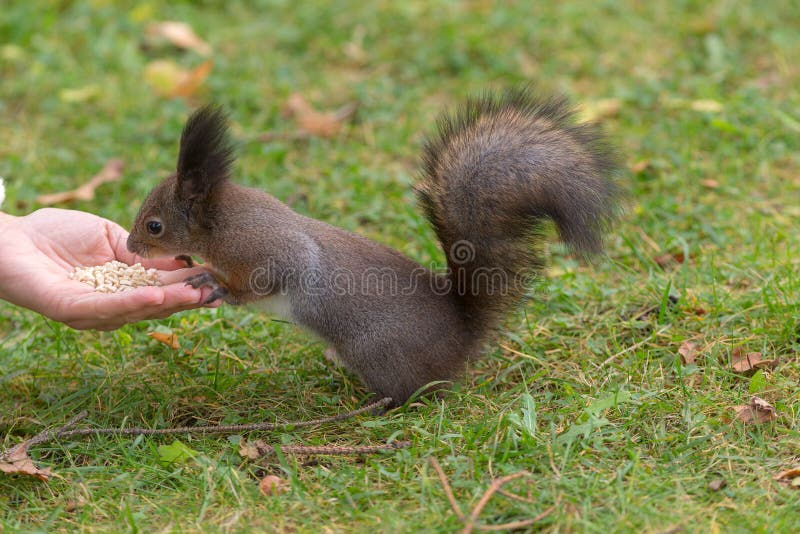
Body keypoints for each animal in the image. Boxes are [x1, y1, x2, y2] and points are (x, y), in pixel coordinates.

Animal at [127, 88, 620, 406]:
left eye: (154, 226)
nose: (132, 247)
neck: (220, 223)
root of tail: (463, 339)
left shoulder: (268, 250)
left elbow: (263, 281)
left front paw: (217, 284)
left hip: (376, 351)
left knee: (412, 394)